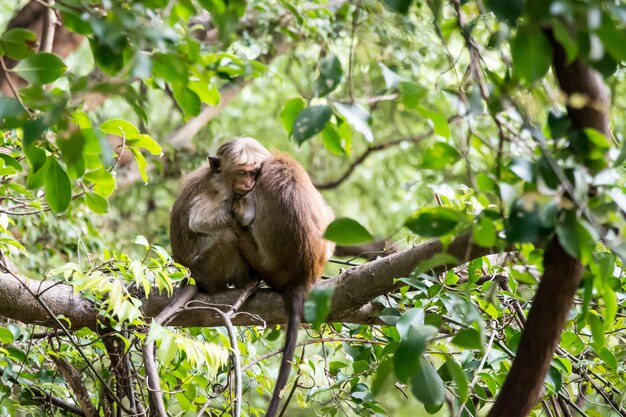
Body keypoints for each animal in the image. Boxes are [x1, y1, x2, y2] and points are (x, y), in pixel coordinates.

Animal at [169, 136, 270, 292]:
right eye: (241, 173)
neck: (222, 176)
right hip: (208, 270)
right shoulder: (221, 188)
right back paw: (245, 281)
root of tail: (193, 278)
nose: (248, 184)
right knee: (229, 237)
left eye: (253, 172)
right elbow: (198, 221)